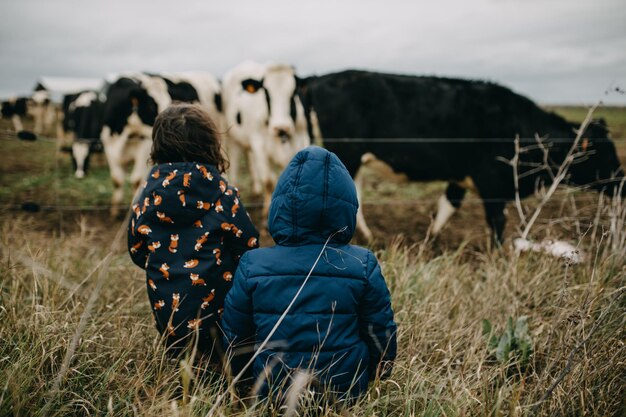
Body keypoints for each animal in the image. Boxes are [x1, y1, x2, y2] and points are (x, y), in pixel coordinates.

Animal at [222, 61, 310, 214]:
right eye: (267, 93)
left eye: (294, 92)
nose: (281, 126)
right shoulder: (259, 145)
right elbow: (268, 181)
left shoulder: (301, 141)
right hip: (233, 139)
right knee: (235, 164)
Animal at [298, 70, 624, 242]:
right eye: (603, 154)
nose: (622, 182)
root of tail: (322, 78)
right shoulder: (491, 181)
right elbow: (497, 221)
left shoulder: (462, 176)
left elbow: (448, 206)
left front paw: (430, 240)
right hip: (345, 154)